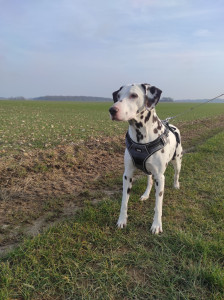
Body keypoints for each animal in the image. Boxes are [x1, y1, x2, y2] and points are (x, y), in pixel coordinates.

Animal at [109, 83, 183, 233]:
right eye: (118, 96)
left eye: (134, 95)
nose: (112, 110)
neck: (141, 138)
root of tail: (171, 125)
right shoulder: (127, 175)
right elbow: (124, 201)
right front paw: (122, 220)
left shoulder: (160, 177)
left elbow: (158, 205)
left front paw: (156, 225)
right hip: (149, 170)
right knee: (149, 181)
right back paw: (146, 194)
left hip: (177, 161)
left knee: (176, 174)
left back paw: (176, 185)